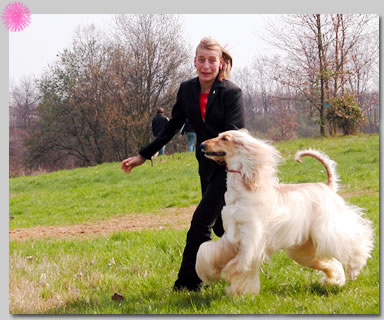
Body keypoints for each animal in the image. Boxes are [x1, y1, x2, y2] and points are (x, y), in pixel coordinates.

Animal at [196, 130, 374, 296]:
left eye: (225, 138)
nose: (202, 145)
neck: (245, 189)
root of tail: (327, 186)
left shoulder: (252, 238)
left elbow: (239, 265)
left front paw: (237, 287)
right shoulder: (234, 235)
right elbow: (209, 252)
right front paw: (212, 273)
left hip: (329, 228)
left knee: (355, 241)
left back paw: (354, 270)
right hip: (305, 245)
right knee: (329, 262)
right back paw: (334, 280)